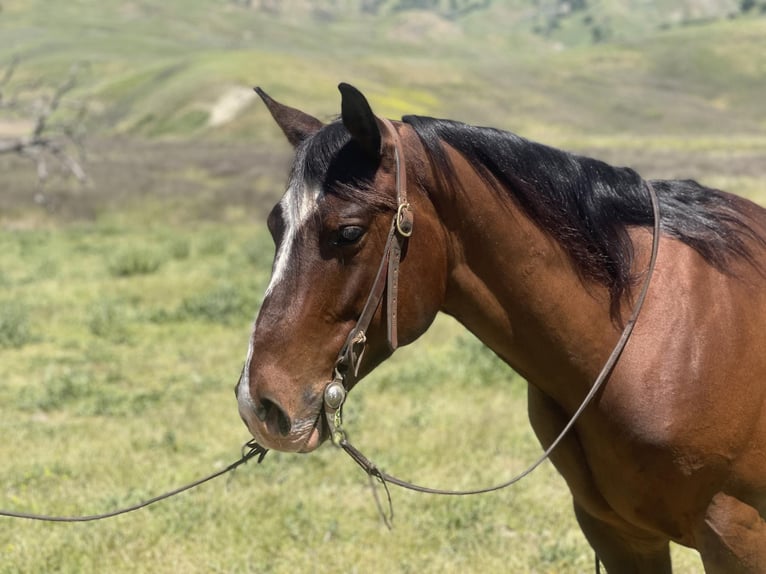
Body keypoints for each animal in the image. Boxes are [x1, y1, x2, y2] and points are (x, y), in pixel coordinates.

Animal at [237, 83, 766, 572]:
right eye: (274, 226)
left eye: (348, 233)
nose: (258, 404)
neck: (654, 338)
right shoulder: (619, 534)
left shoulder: (736, 538)